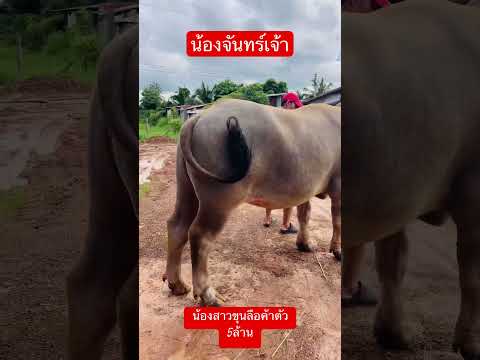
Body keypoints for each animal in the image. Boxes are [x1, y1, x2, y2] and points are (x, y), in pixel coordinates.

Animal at [165, 99, 342, 306]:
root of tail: (200, 116)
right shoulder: (339, 187)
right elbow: (337, 222)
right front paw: (337, 251)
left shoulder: (306, 190)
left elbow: (304, 215)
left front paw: (305, 244)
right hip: (218, 202)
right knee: (200, 236)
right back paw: (208, 294)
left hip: (187, 190)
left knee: (178, 226)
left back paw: (177, 284)